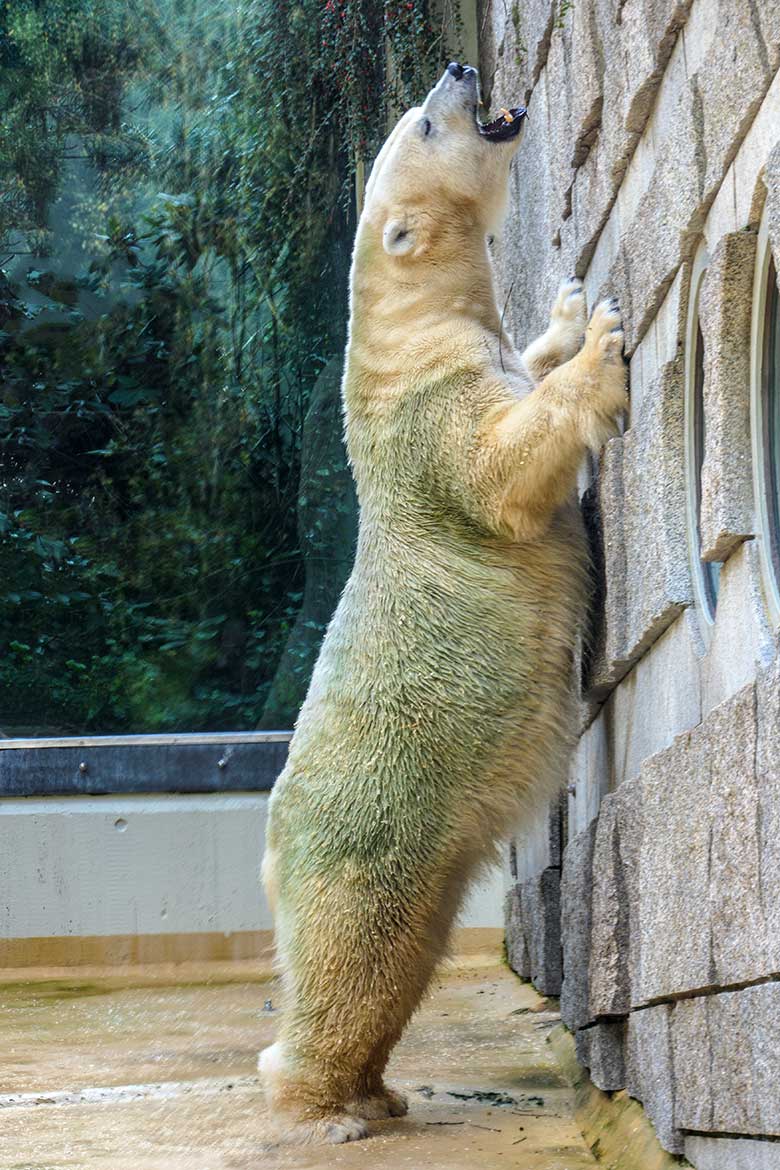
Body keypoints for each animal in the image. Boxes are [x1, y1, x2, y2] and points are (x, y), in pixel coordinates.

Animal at [260, 61, 626, 1141]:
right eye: (425, 122)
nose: (463, 70)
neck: (404, 339)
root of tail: (273, 839)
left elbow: (524, 375)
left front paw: (564, 314)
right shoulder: (434, 415)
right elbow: (502, 471)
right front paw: (601, 342)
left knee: (405, 958)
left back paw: (376, 1089)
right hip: (370, 829)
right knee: (354, 955)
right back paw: (324, 1109)